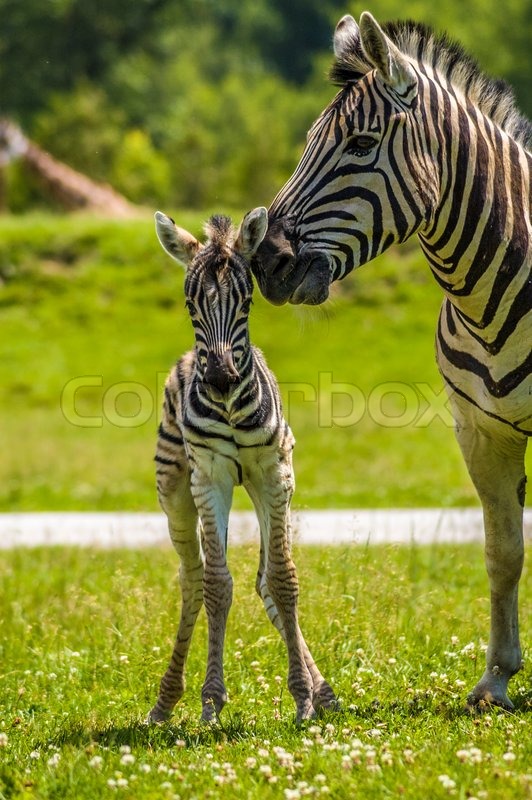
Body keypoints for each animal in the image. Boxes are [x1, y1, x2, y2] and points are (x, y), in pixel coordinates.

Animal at [148, 207, 336, 724]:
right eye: (189, 304)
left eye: (246, 301)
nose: (219, 377)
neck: (231, 406)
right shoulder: (210, 478)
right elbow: (216, 584)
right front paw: (211, 700)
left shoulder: (274, 474)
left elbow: (282, 580)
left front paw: (304, 696)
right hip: (175, 489)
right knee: (192, 578)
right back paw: (166, 699)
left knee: (263, 580)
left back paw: (321, 689)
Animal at [251, 12, 531, 710]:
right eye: (308, 141)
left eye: (360, 146)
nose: (264, 261)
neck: (489, 299)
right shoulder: (479, 430)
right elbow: (502, 550)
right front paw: (496, 678)